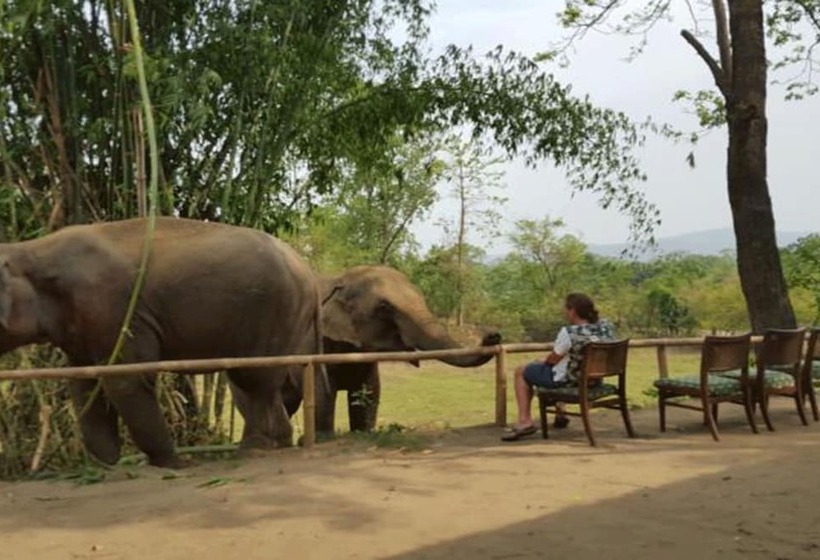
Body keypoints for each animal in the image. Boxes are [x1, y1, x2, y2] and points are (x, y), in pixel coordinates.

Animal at [0, 217, 327, 468]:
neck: (32, 251)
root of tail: (310, 273)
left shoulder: (116, 309)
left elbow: (127, 380)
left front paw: (175, 464)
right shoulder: (82, 327)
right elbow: (84, 382)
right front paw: (107, 463)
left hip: (277, 313)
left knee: (255, 379)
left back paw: (252, 449)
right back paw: (273, 444)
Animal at [283, 265, 501, 434]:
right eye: (384, 307)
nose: (493, 335)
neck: (339, 278)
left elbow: (370, 392)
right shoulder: (314, 344)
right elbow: (322, 396)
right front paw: (324, 438)